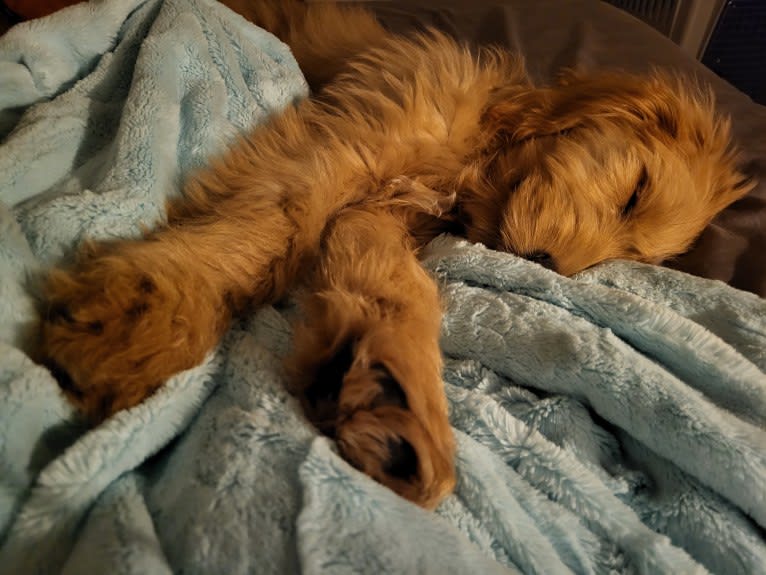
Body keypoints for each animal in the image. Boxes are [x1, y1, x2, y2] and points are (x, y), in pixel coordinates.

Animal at [39, 0, 752, 508]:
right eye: (636, 192)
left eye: (621, 256)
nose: (548, 267)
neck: (478, 157)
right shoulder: (346, 146)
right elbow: (275, 223)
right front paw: (150, 314)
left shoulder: (383, 220)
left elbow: (398, 287)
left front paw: (392, 392)